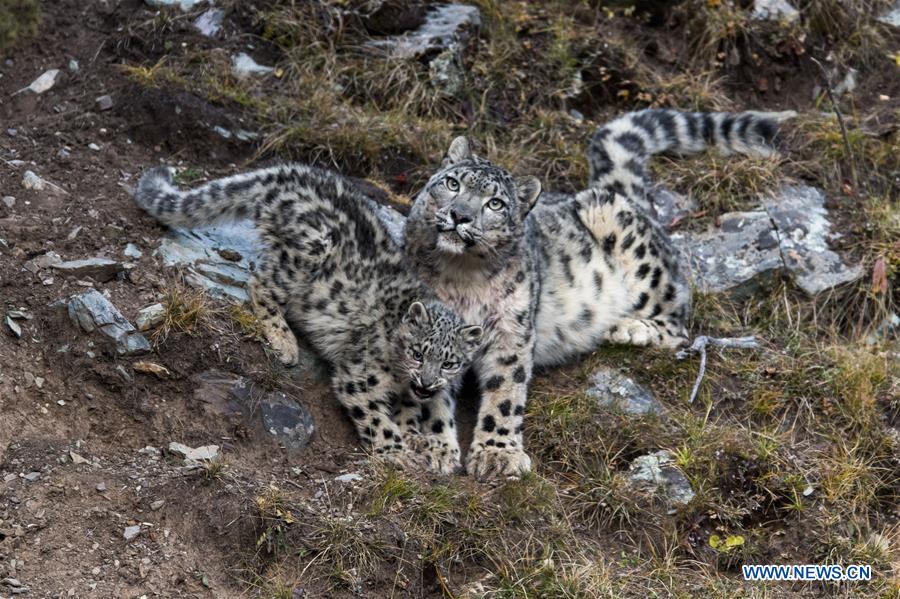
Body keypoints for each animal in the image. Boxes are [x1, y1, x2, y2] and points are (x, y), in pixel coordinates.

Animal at [133, 164, 484, 474]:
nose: (427, 382)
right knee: (260, 284)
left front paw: (416, 440)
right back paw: (284, 340)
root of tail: (287, 172)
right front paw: (397, 452)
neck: (399, 377)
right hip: (311, 246)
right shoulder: (358, 375)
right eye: (418, 353)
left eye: (450, 363)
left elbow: (408, 413)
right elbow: (376, 417)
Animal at [404, 108, 795, 479]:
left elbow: (504, 394)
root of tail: (623, 196)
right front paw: (435, 448)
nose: (460, 215)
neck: (463, 277)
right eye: (452, 183)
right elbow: (430, 393)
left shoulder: (510, 333)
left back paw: (629, 328)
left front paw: (498, 455)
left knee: (678, 322)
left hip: (628, 242)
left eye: (495, 204)